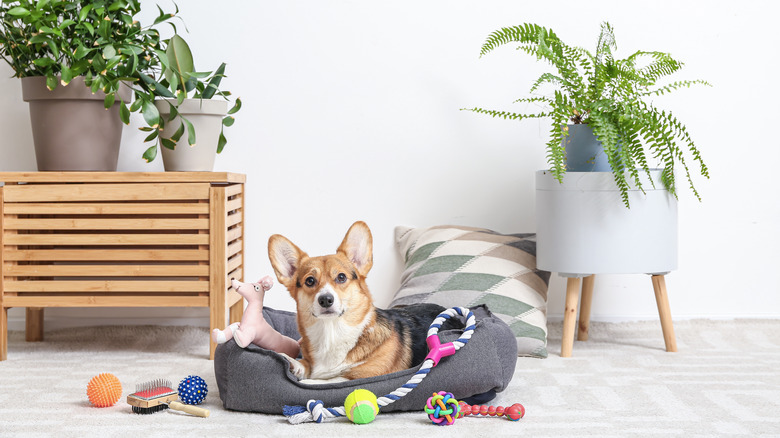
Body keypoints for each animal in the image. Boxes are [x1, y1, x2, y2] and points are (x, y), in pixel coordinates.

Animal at [268, 221, 454, 382]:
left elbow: (325, 380)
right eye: (310, 281)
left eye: (341, 277)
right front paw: (292, 362)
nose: (326, 299)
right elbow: (306, 366)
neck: (331, 332)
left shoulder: (364, 375)